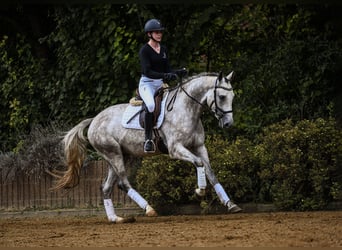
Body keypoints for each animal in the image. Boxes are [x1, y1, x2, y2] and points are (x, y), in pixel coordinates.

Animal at [52, 70, 240, 223]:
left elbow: (211, 172)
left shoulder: (200, 147)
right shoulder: (176, 149)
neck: (187, 109)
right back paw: (149, 209)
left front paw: (230, 204)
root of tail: (94, 120)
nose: (228, 124)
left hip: (122, 156)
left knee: (107, 187)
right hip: (114, 154)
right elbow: (199, 163)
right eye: (222, 97)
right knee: (123, 183)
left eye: (232, 97)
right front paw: (200, 190)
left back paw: (116, 219)